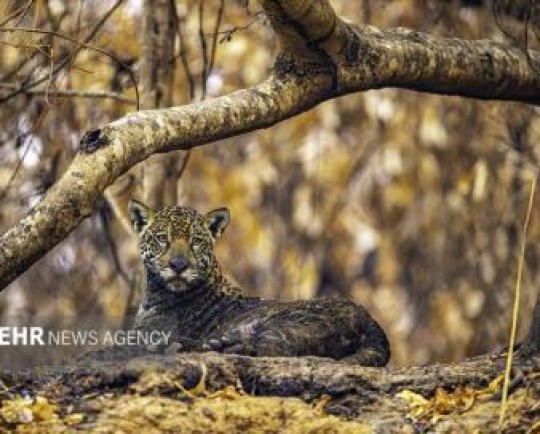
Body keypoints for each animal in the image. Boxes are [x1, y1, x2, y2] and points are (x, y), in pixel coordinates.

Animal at [130, 200, 392, 366]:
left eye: (195, 241)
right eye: (162, 239)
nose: (178, 265)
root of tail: (371, 321)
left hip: (286, 324)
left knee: (277, 352)